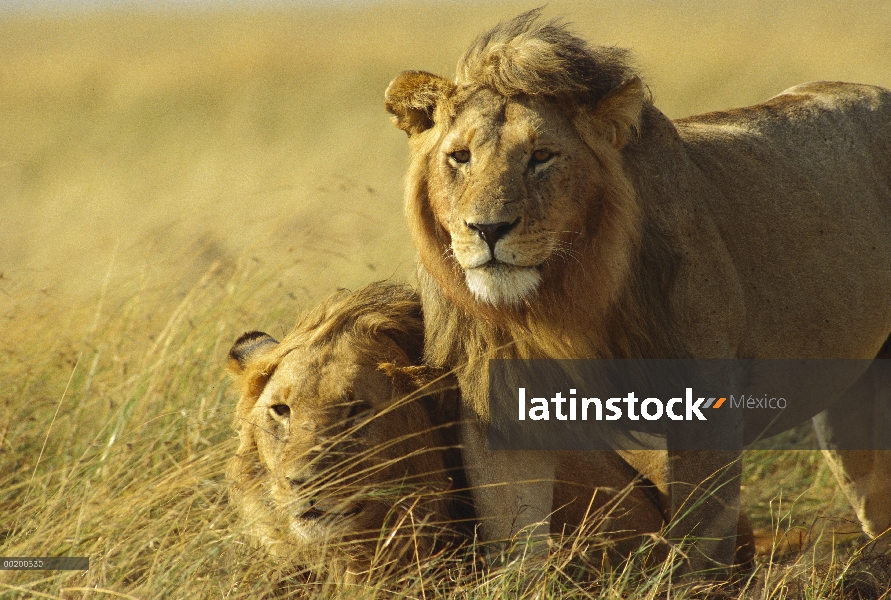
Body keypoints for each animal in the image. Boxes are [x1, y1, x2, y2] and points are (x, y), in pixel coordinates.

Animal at [386, 8, 891, 572]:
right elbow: (512, 535)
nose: (488, 228)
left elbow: (699, 542)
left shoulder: (703, 404)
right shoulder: (497, 402)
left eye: (542, 156)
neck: (557, 303)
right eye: (460, 157)